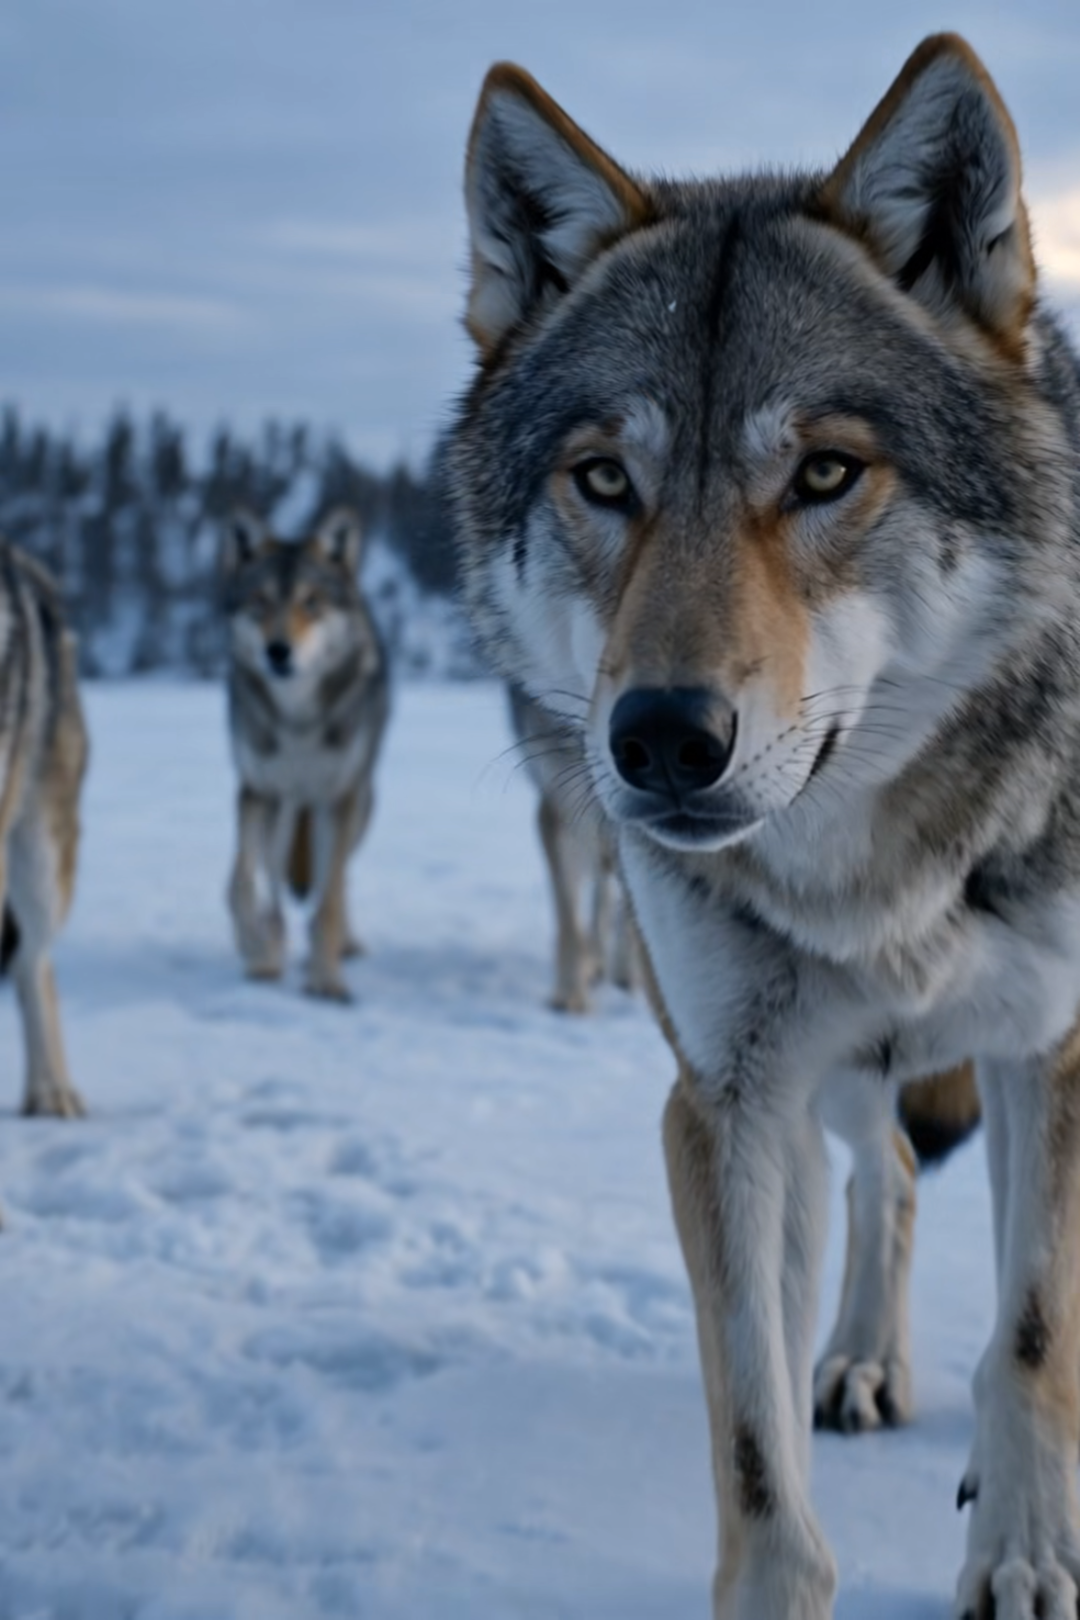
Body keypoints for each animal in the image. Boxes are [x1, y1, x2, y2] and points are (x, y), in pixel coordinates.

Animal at [221, 507, 389, 1001]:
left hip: (357, 807)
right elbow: (244, 886)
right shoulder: (261, 790)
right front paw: (262, 956)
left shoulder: (339, 798)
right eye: (259, 601)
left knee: (338, 879)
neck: (298, 721)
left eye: (311, 602)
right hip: (278, 809)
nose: (278, 651)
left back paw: (344, 945)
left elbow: (328, 901)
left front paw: (326, 979)